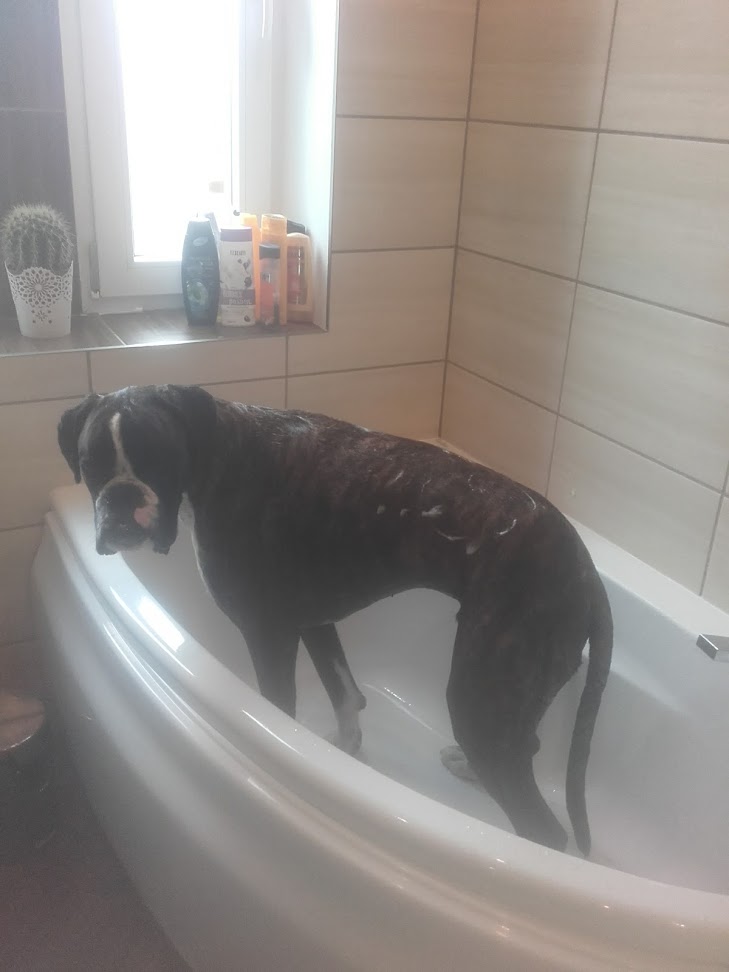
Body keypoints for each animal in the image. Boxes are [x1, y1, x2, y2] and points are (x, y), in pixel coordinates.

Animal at [57, 383, 612, 855]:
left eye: (161, 459)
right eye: (88, 465)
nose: (123, 501)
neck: (221, 451)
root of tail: (586, 570)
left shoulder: (268, 635)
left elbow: (282, 710)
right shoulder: (313, 622)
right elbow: (345, 693)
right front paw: (341, 755)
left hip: (481, 694)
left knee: (541, 826)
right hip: (509, 699)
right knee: (525, 746)